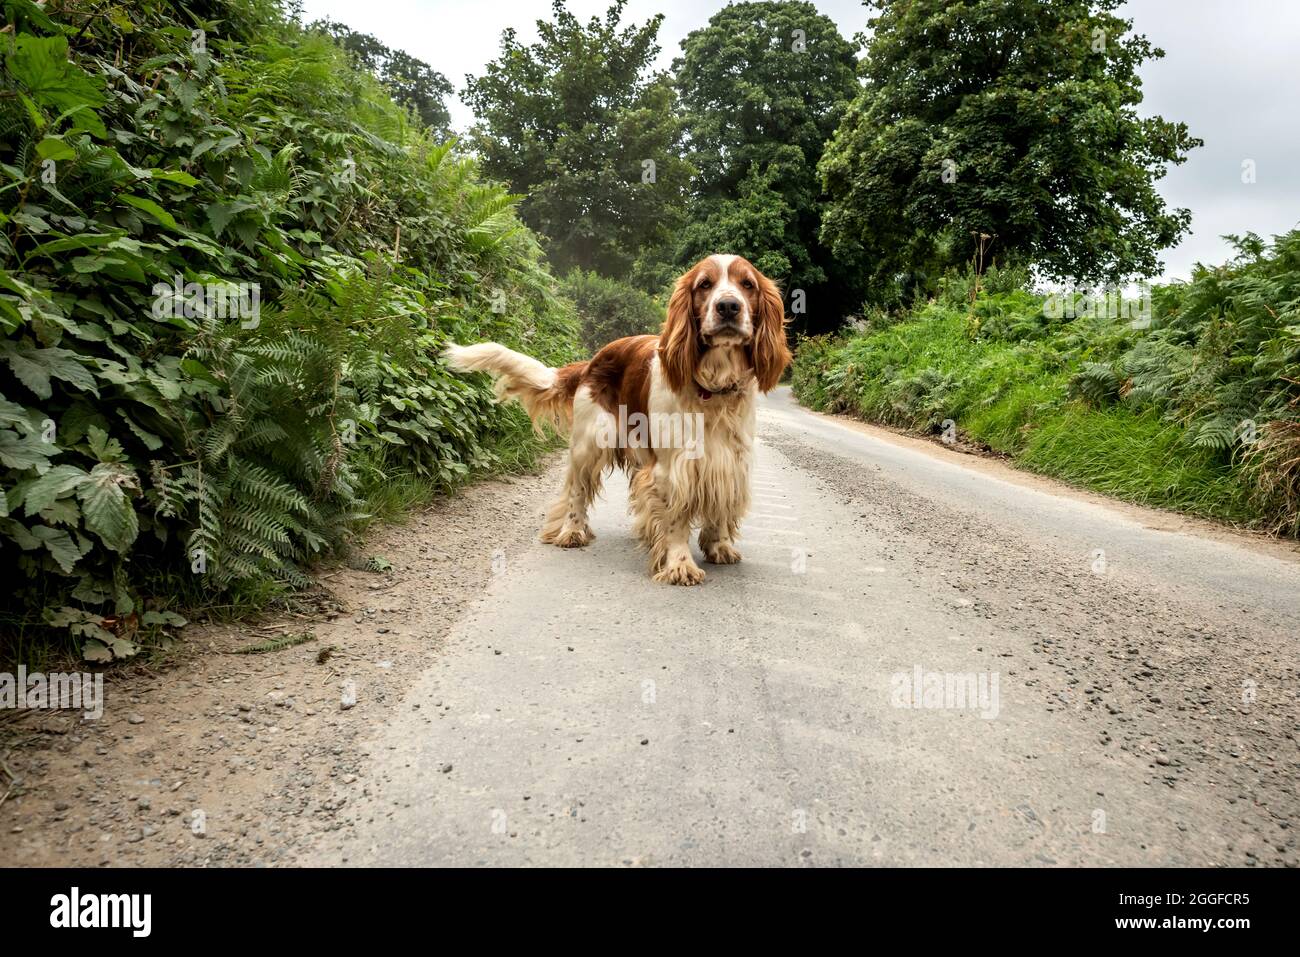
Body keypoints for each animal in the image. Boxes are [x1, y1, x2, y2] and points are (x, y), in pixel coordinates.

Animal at [444, 254, 790, 582]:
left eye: (748, 284)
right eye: (705, 284)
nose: (728, 307)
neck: (713, 388)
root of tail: (592, 360)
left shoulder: (730, 460)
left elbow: (719, 507)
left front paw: (718, 546)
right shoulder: (672, 467)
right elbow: (676, 519)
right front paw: (679, 564)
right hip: (589, 442)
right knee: (576, 491)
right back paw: (572, 531)